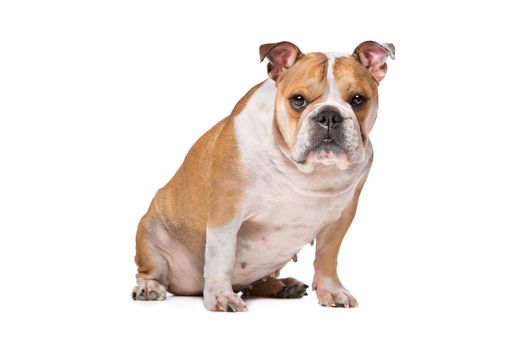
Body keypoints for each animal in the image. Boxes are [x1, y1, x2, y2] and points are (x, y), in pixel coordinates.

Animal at [131, 41, 392, 312]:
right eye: (298, 100)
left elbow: (327, 257)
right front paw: (221, 297)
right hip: (151, 233)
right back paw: (149, 287)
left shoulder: (340, 218)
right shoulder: (226, 212)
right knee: (150, 270)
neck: (303, 169)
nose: (329, 114)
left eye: (358, 99)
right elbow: (221, 256)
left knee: (257, 283)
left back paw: (282, 286)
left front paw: (331, 291)